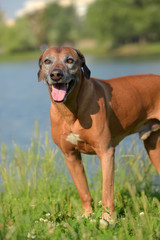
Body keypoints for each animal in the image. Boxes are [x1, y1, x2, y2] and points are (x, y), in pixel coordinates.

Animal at [38, 46, 160, 221]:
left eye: (70, 60)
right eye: (47, 61)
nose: (56, 74)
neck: (70, 110)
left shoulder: (106, 152)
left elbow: (107, 191)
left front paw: (108, 219)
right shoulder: (71, 156)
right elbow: (83, 191)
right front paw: (87, 215)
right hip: (153, 148)